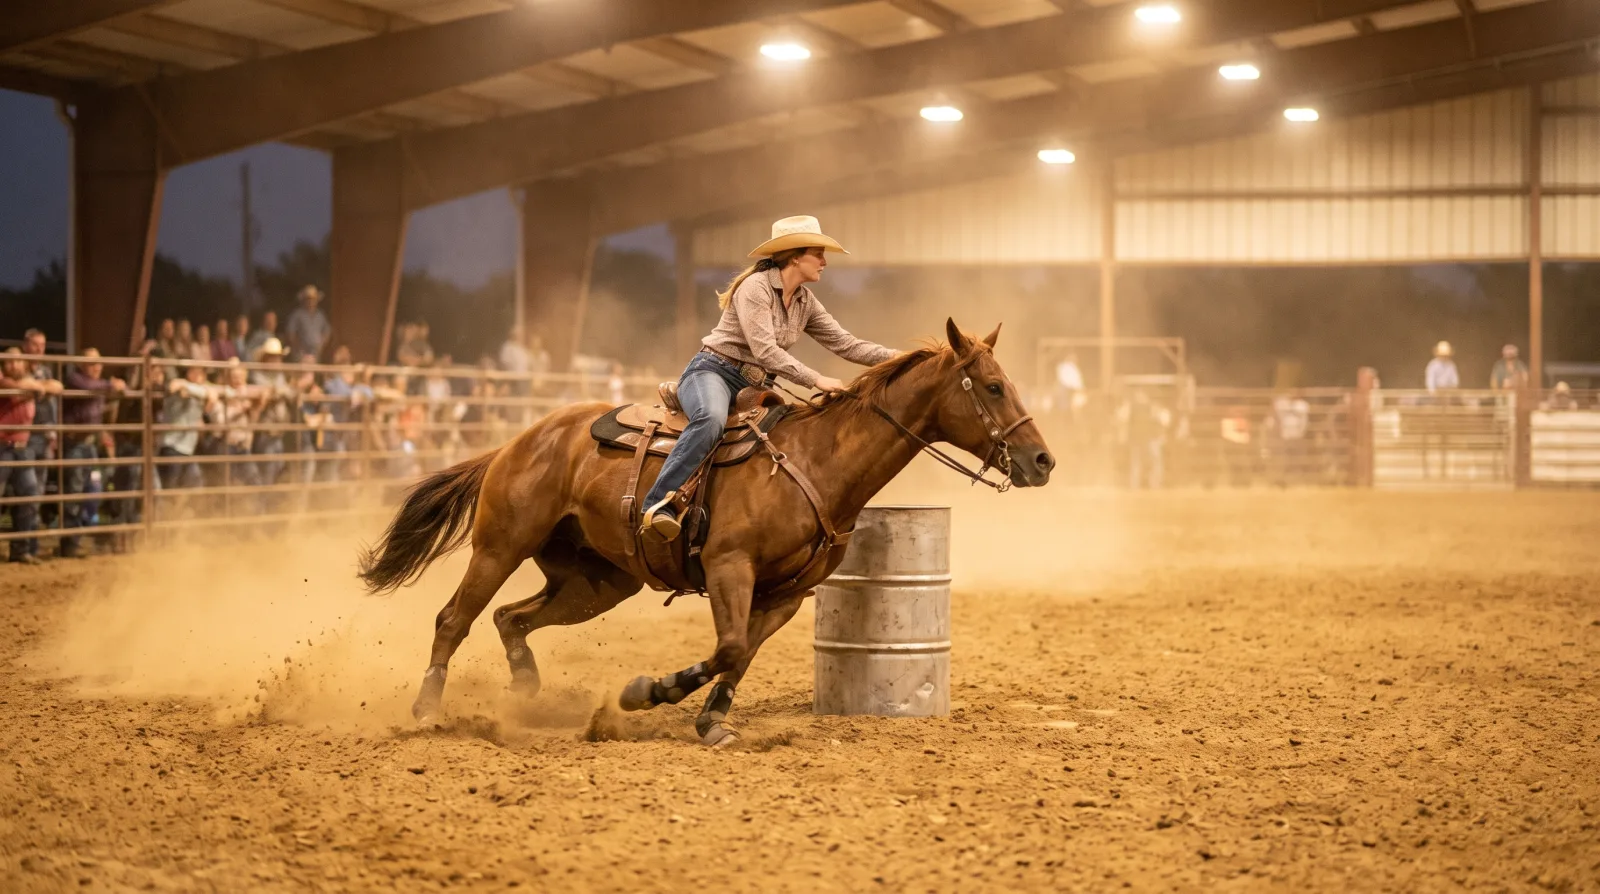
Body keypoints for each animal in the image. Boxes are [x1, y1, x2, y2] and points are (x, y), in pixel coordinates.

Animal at [358, 319, 1054, 745]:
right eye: (993, 386)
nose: (1043, 461)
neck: (817, 460)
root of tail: (516, 440)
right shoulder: (729, 566)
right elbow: (725, 646)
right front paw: (645, 692)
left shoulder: (786, 593)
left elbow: (739, 654)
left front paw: (711, 721)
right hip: (501, 545)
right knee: (455, 618)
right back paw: (427, 711)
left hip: (596, 583)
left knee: (512, 618)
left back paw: (525, 691)